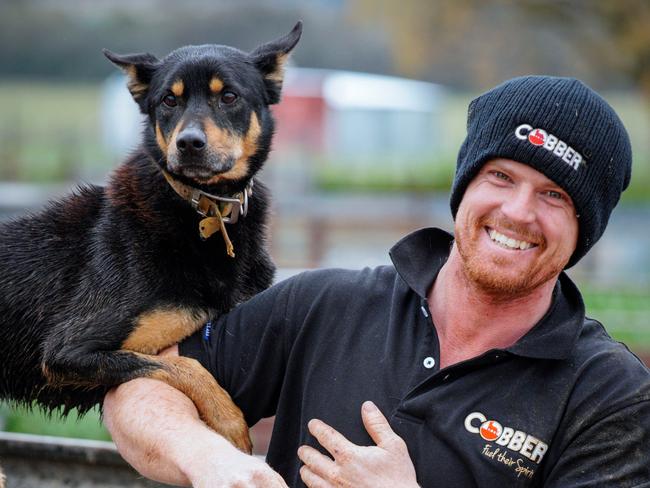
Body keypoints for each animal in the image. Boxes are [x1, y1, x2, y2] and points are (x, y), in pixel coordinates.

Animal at [0, 21, 302, 466]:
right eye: (169, 101)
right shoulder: (67, 352)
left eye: (229, 96)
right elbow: (183, 368)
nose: (189, 143)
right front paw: (229, 423)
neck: (203, 212)